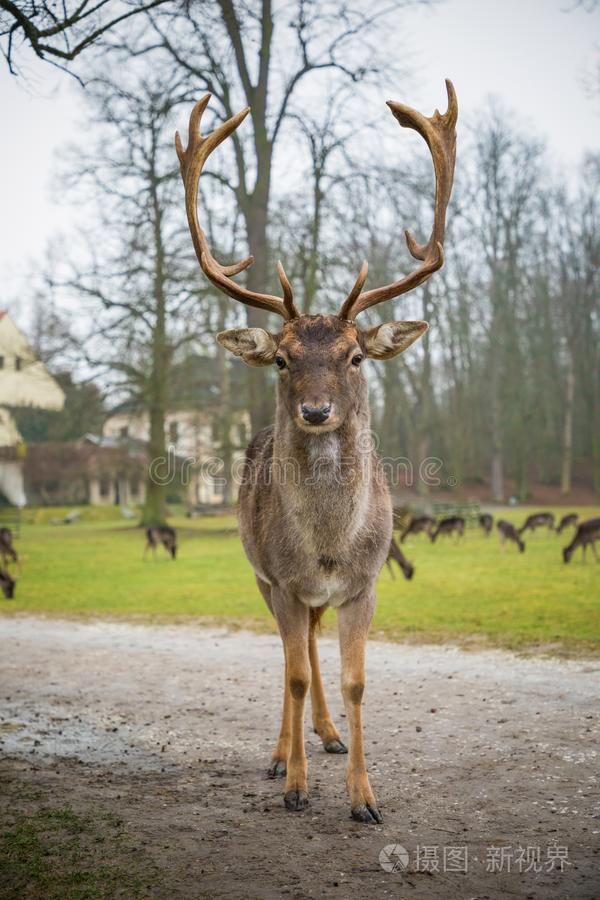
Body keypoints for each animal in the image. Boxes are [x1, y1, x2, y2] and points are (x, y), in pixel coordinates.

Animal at [176, 79, 458, 824]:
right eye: (280, 358)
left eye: (356, 355)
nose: (314, 410)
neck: (329, 546)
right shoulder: (281, 578)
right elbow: (297, 671)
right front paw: (297, 787)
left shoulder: (364, 582)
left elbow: (355, 679)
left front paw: (364, 797)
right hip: (260, 576)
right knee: (289, 655)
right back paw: (284, 754)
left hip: (314, 596)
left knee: (308, 646)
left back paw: (328, 737)